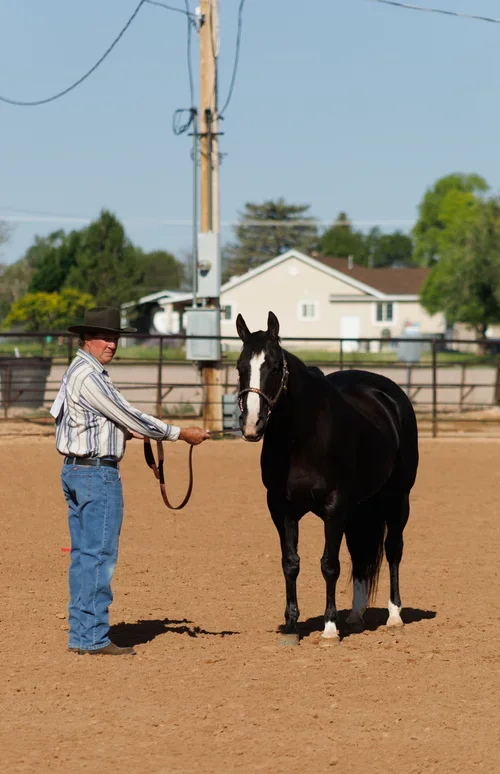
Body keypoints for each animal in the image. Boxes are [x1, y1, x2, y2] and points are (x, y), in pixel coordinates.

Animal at [236, 311, 419, 646]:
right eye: (241, 367)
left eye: (275, 366)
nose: (252, 424)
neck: (302, 438)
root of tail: (389, 394)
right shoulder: (281, 508)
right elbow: (290, 563)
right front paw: (291, 627)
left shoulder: (334, 506)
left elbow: (329, 564)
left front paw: (330, 629)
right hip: (360, 507)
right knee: (360, 554)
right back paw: (357, 615)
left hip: (397, 498)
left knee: (393, 549)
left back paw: (394, 616)